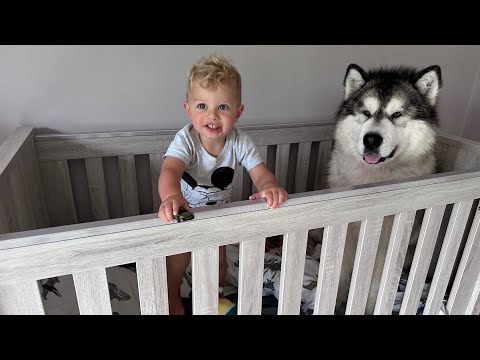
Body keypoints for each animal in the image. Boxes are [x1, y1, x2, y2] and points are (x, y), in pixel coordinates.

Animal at [326, 63, 442, 314]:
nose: (371, 139)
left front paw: (368, 306)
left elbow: (376, 281)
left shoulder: (388, 242)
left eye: (397, 114)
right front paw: (336, 299)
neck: (374, 177)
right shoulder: (345, 231)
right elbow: (341, 270)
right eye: (366, 113)